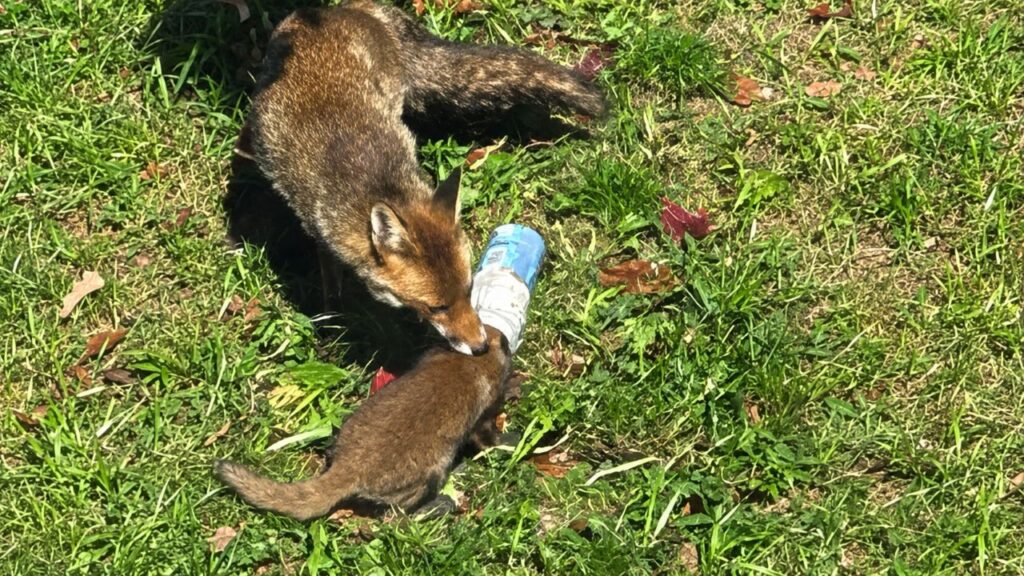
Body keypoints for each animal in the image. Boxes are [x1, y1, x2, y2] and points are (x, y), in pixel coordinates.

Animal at [213, 325, 512, 520]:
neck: (472, 361)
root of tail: (349, 467)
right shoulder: (483, 418)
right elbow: (489, 439)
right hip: (431, 474)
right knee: (394, 518)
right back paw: (436, 505)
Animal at [240, 0, 606, 355]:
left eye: (469, 289)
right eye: (436, 307)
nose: (481, 347)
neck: (375, 180)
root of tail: (340, 10)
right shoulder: (316, 226)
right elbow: (329, 275)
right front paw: (332, 313)